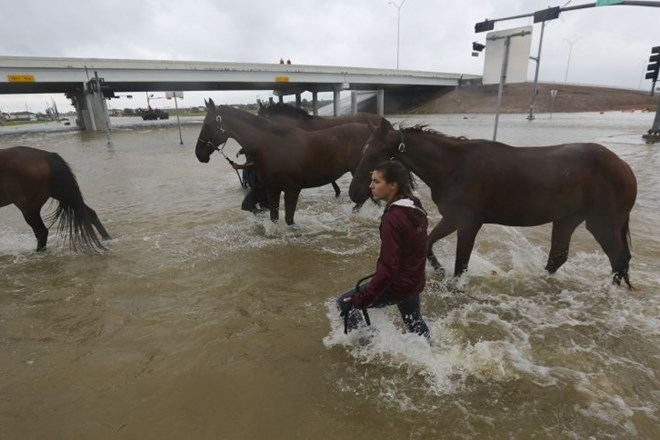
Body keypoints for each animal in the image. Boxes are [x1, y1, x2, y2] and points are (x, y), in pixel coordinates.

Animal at [195, 98, 372, 225]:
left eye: (207, 125)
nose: (199, 154)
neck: (272, 146)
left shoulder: (292, 189)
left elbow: (289, 219)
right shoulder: (272, 188)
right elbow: (273, 217)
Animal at [348, 118, 636, 288]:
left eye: (373, 153)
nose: (354, 192)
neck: (454, 168)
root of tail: (625, 168)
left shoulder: (468, 223)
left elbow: (461, 265)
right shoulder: (453, 218)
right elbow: (429, 244)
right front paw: (439, 271)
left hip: (602, 224)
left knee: (618, 259)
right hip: (566, 219)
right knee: (558, 257)